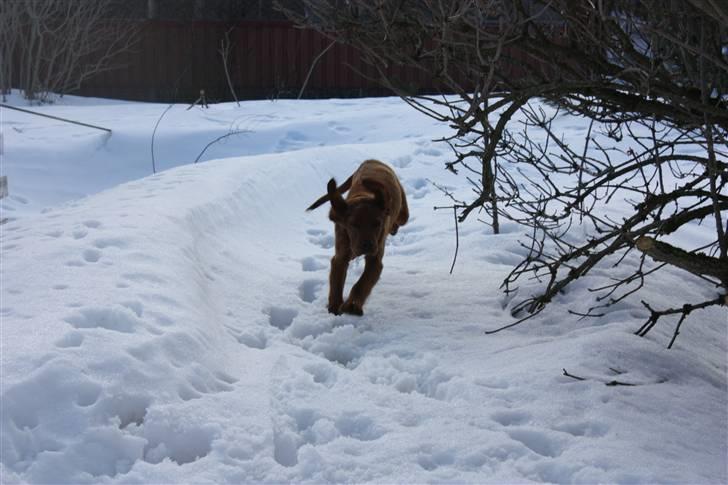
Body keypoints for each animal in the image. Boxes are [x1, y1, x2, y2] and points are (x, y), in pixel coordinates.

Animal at [308, 160, 410, 314]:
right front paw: (334, 306)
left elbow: (362, 284)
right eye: (353, 225)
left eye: (377, 224)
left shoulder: (375, 260)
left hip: (403, 214)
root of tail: (371, 160)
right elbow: (336, 282)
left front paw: (352, 305)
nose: (367, 246)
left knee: (399, 220)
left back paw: (393, 228)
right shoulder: (340, 256)